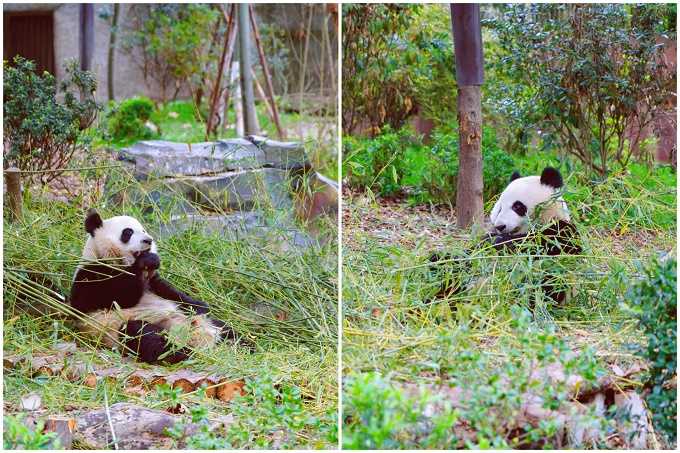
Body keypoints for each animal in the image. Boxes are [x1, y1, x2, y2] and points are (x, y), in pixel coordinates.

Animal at [70, 209, 238, 364]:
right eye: (128, 232)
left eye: (143, 230)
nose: (148, 240)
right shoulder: (92, 276)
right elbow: (121, 296)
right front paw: (147, 260)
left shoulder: (153, 282)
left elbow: (170, 291)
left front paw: (200, 305)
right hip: (119, 328)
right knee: (144, 336)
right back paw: (184, 352)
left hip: (204, 322)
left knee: (227, 328)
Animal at [430, 168, 580, 306]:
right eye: (500, 207)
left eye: (517, 206)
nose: (500, 226)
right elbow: (473, 251)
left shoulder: (560, 231)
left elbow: (547, 247)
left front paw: (504, 243)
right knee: (448, 266)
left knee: (543, 285)